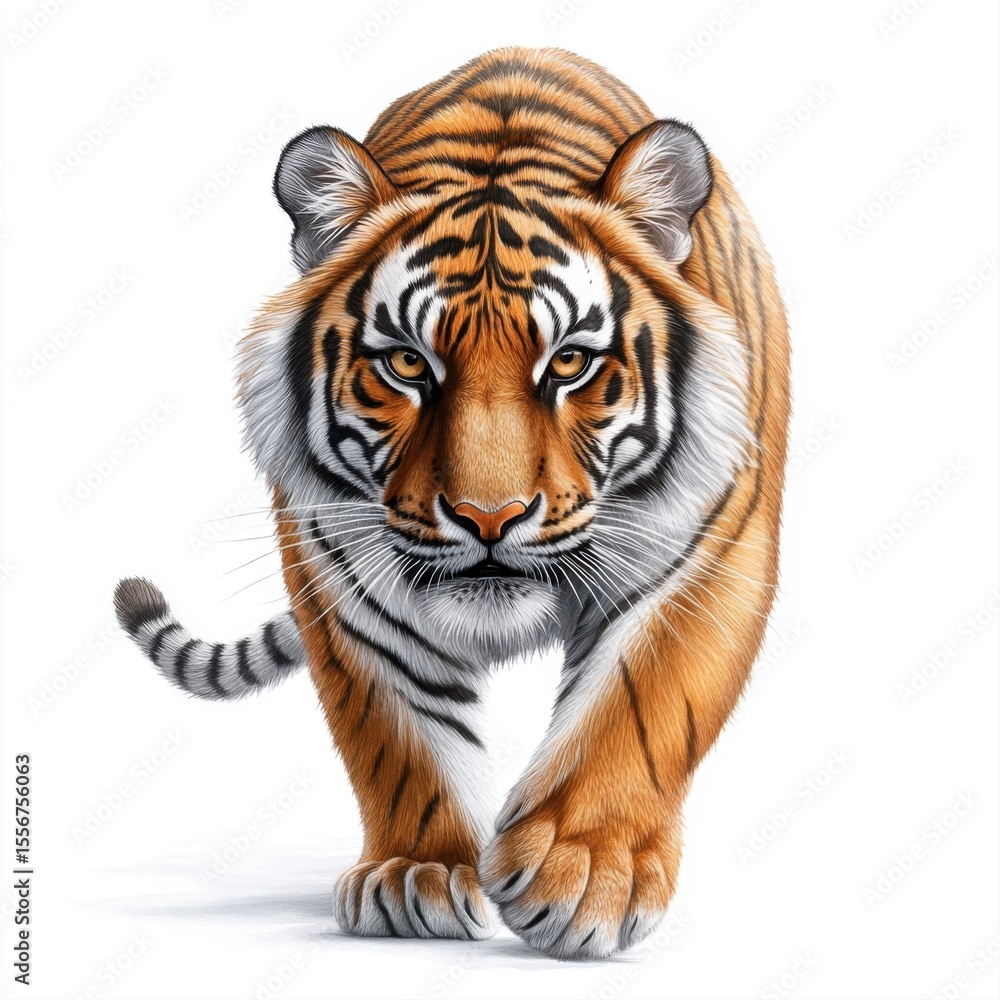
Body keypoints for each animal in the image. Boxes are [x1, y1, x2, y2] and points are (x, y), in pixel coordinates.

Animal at [113, 46, 789, 959]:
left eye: (570, 362)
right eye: (407, 363)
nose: (488, 519)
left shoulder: (708, 553)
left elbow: (635, 708)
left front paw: (582, 876)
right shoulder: (338, 572)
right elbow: (401, 736)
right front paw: (418, 875)